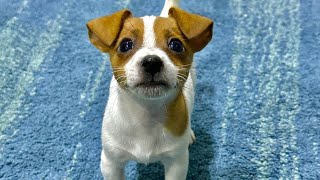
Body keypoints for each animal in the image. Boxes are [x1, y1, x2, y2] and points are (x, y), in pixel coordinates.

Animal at [86, 0, 214, 179]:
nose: (152, 61)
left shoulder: (177, 164)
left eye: (176, 45)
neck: (147, 116)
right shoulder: (111, 162)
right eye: (125, 45)